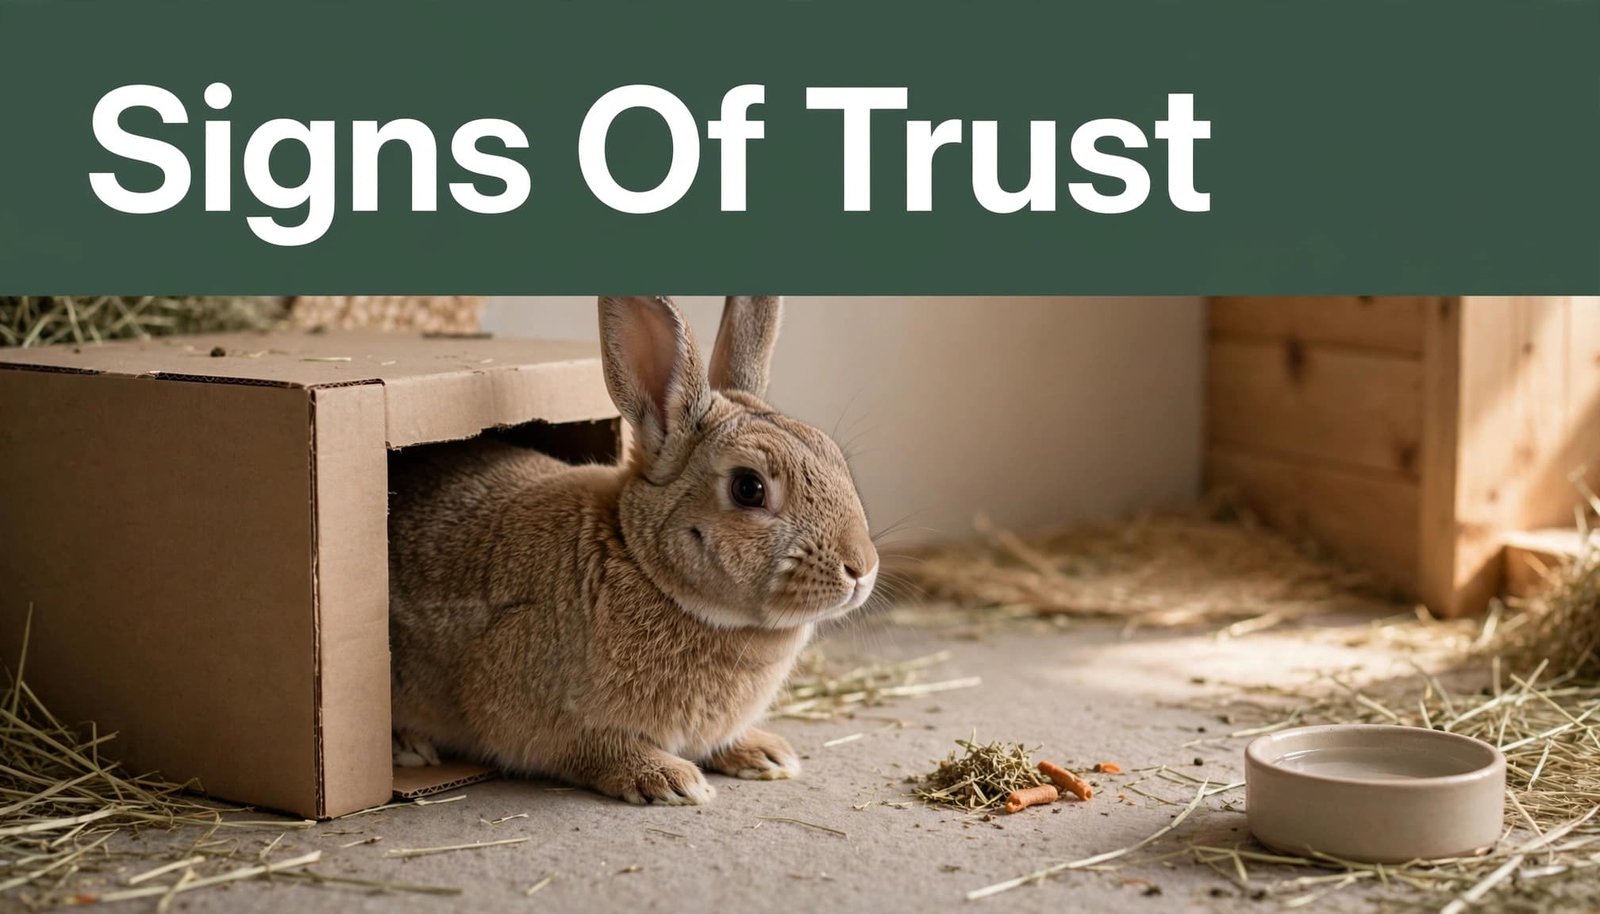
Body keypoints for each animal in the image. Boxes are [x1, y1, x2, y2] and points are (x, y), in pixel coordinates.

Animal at [386, 296, 879, 805]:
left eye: (834, 456)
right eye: (749, 488)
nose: (862, 568)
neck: (641, 564)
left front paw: (767, 754)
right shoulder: (533, 716)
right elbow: (590, 749)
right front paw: (669, 779)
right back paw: (410, 747)